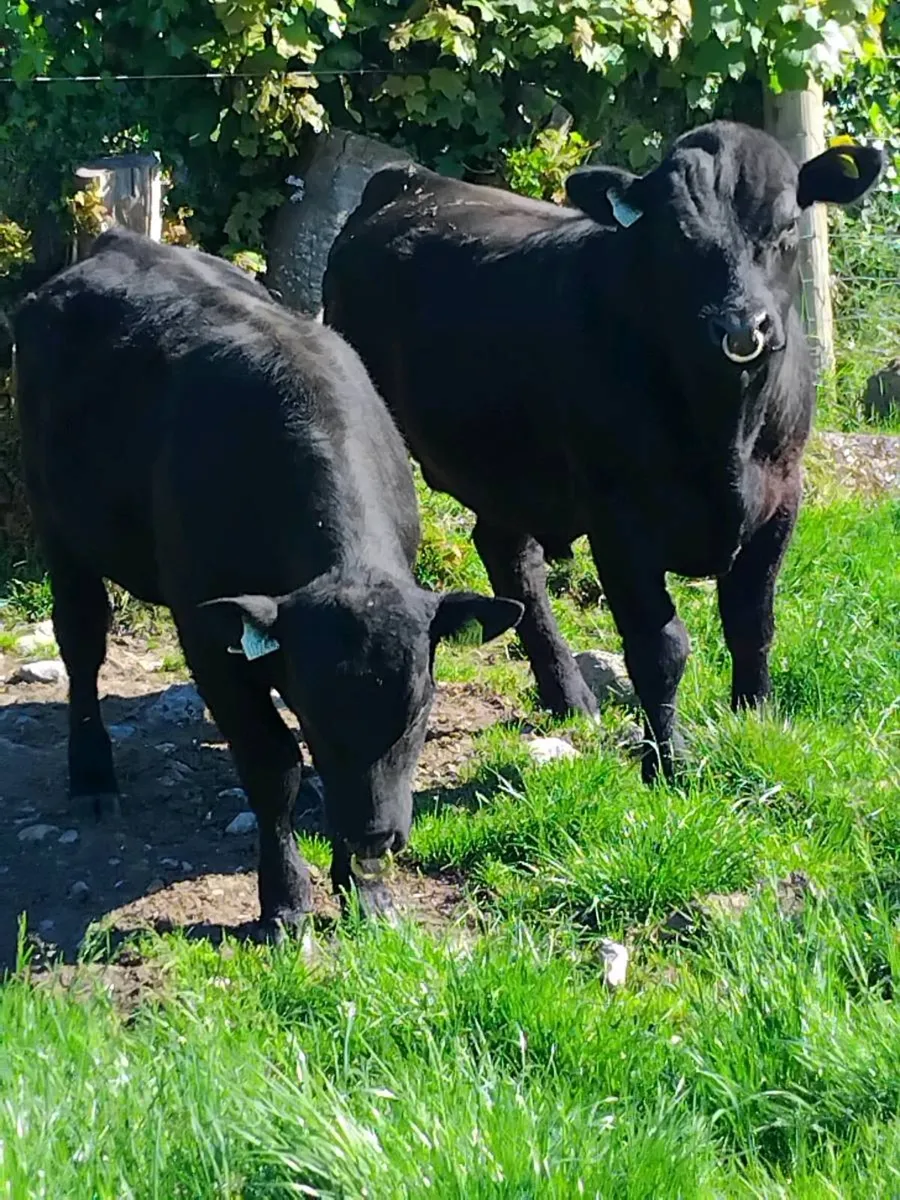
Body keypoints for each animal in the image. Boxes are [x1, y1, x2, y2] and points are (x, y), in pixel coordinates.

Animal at [12, 229, 523, 933]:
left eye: (421, 708)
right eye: (313, 709)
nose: (377, 836)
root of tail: (115, 243)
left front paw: (367, 892)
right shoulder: (207, 635)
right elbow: (272, 762)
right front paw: (285, 899)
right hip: (59, 527)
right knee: (82, 645)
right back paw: (91, 776)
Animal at [323, 120, 882, 783]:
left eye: (787, 228)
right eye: (674, 240)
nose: (743, 327)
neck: (725, 435)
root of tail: (409, 177)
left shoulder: (782, 498)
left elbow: (752, 624)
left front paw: (756, 723)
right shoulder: (619, 520)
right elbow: (660, 646)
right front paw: (668, 764)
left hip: (511, 468)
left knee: (508, 553)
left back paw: (568, 696)